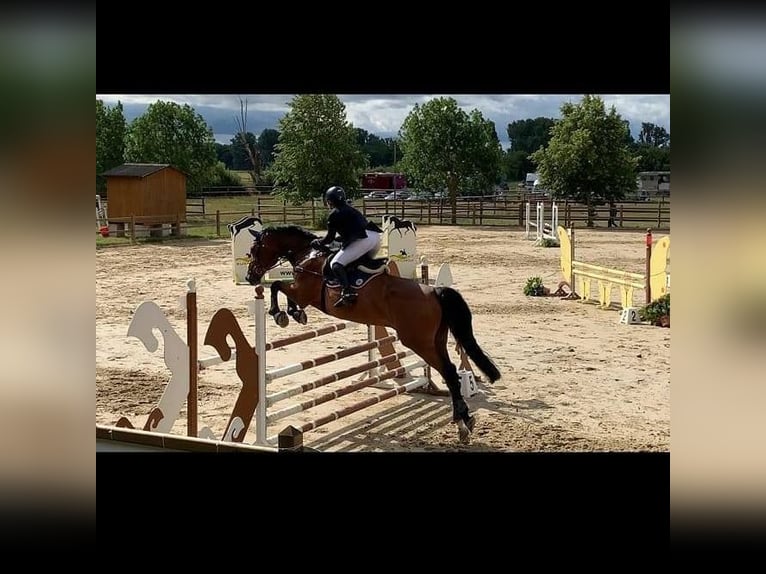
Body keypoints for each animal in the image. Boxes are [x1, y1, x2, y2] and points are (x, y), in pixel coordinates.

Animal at [246, 225, 504, 446]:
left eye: (254, 250)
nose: (250, 277)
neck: (307, 255)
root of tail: (434, 291)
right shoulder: (301, 292)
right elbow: (282, 289)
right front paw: (294, 313)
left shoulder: (303, 292)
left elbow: (277, 286)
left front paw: (281, 314)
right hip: (436, 340)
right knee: (450, 374)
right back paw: (464, 422)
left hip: (419, 342)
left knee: (449, 372)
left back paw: (462, 422)